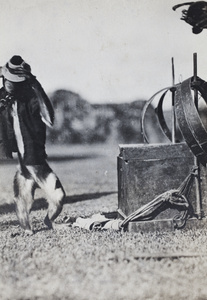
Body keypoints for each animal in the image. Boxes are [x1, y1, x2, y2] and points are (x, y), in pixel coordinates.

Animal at [0, 56, 65, 234]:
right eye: (8, 82)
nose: (8, 88)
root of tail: (34, 179)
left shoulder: (34, 100)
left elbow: (48, 118)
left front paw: (31, 78)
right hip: (23, 180)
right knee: (22, 201)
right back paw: (28, 229)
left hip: (45, 177)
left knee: (57, 196)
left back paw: (49, 222)